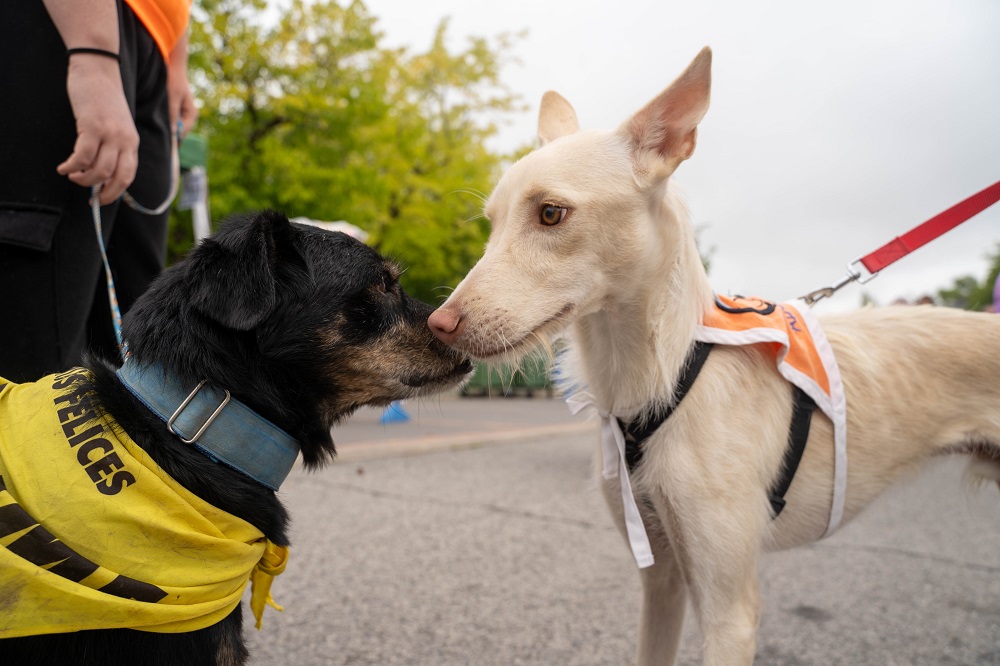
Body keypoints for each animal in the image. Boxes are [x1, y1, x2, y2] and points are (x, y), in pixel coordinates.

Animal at [426, 48, 1000, 664]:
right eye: (492, 223)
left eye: (551, 213)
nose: (439, 326)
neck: (663, 373)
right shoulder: (661, 578)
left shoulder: (730, 611)